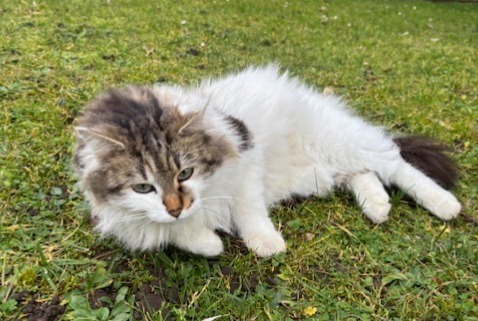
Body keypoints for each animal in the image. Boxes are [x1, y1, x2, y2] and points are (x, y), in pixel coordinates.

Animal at [74, 65, 460, 258]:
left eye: (185, 172)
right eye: (143, 187)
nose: (176, 207)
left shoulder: (245, 163)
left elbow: (249, 213)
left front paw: (267, 244)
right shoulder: (136, 221)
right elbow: (174, 232)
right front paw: (209, 242)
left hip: (339, 141)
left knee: (395, 163)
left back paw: (445, 205)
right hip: (323, 171)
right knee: (363, 174)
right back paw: (377, 207)